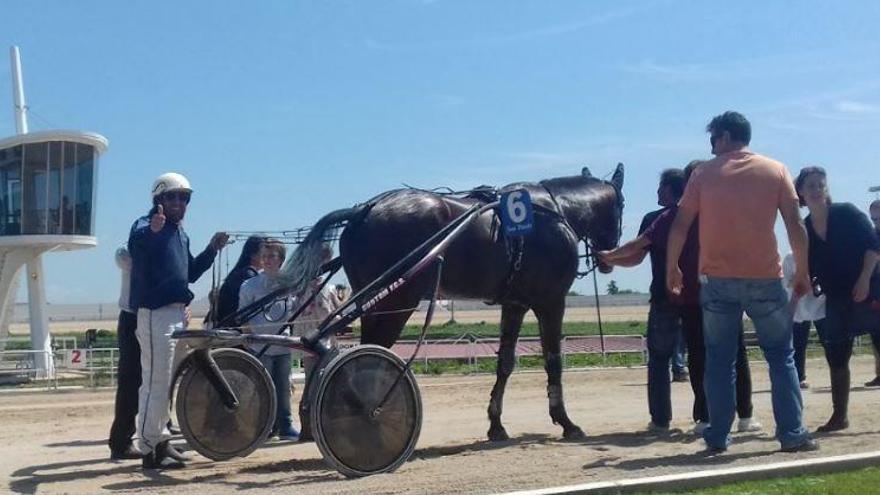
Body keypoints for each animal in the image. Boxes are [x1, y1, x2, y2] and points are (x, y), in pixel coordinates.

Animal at [286, 167, 624, 442]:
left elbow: (505, 362)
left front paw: (496, 425)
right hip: (396, 300)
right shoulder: (550, 301)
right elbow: (554, 361)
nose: (610, 250)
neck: (554, 211)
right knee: (369, 354)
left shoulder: (514, 304)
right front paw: (566, 422)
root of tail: (363, 211)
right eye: (621, 205)